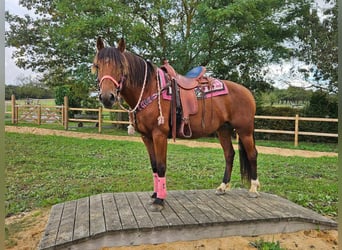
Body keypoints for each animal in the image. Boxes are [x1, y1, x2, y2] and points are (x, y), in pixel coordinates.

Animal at [91, 37, 260, 212]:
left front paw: (160, 200)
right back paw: (222, 187)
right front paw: (155, 194)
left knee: (252, 154)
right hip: (223, 130)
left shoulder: (159, 135)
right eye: (97, 66)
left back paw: (254, 189)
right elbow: (154, 166)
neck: (150, 89)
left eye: (121, 66)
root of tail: (247, 92)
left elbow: (161, 166)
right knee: (229, 154)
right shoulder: (146, 137)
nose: (107, 97)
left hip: (245, 130)